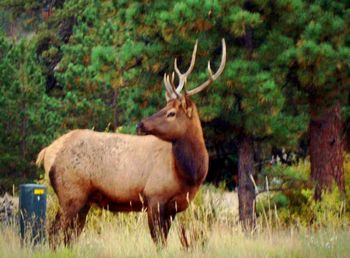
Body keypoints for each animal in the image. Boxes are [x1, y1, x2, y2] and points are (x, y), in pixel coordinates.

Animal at [36, 39, 227, 247]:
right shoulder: (154, 197)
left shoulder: (174, 207)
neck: (190, 173)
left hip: (82, 201)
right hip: (70, 194)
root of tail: (47, 152)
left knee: (69, 236)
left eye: (171, 113)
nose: (140, 124)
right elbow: (159, 241)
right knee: (54, 233)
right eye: (165, 107)